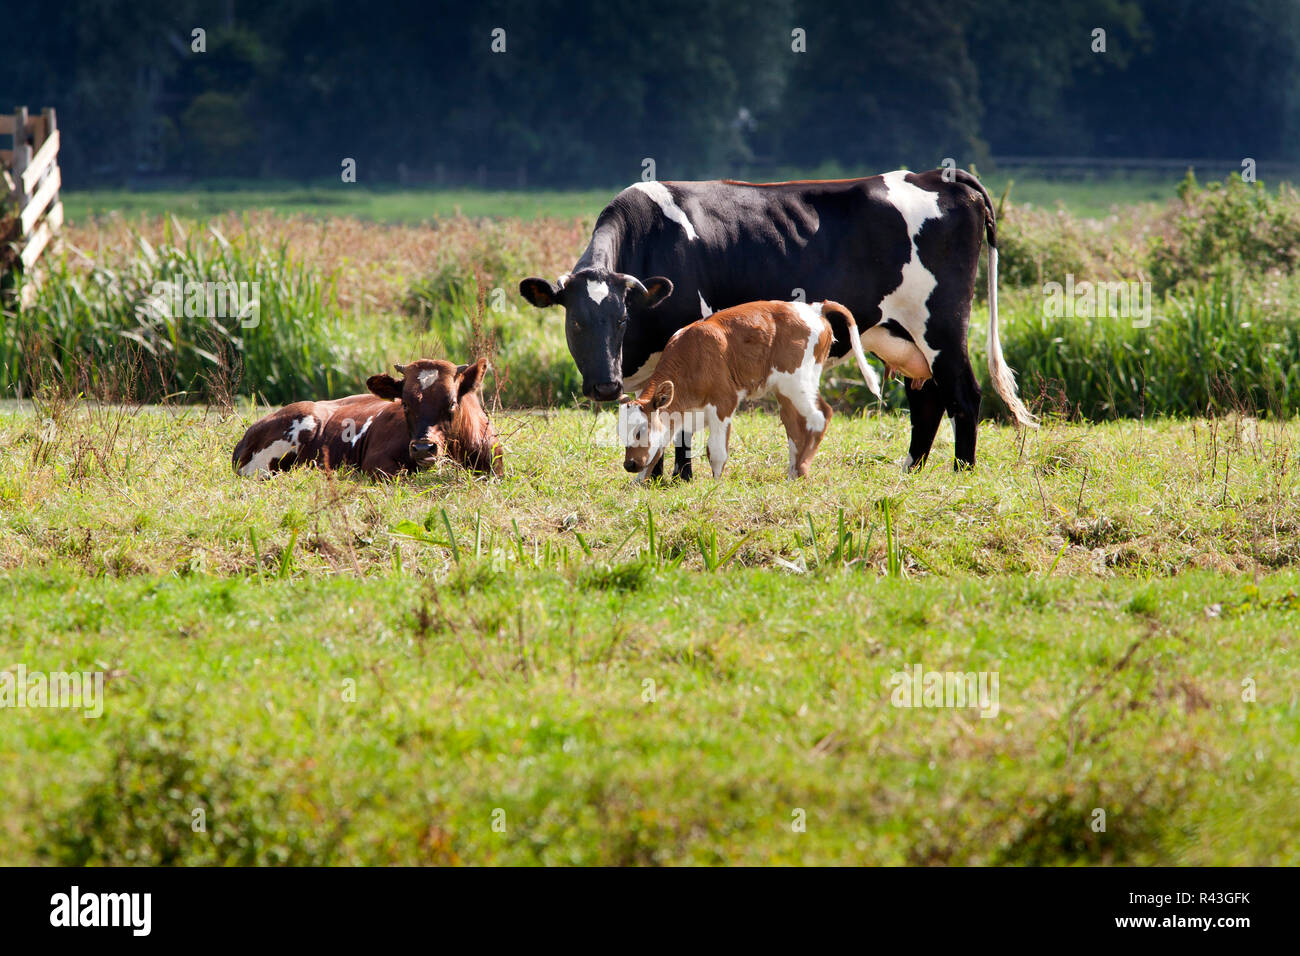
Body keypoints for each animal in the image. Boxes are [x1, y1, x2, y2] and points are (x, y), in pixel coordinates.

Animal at [621, 300, 877, 481]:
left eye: (640, 432)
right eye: (622, 434)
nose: (629, 464)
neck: (693, 356)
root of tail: (814, 308)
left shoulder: (723, 402)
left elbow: (716, 451)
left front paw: (716, 485)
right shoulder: (679, 415)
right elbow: (657, 451)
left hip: (798, 383)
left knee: (819, 416)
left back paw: (802, 471)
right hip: (786, 390)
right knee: (794, 426)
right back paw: (792, 474)